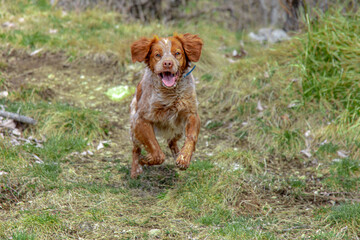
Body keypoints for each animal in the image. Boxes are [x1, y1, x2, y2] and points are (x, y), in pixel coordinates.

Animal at [129, 32, 202, 177]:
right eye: (157, 55)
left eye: (177, 53)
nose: (167, 63)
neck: (170, 94)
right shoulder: (141, 120)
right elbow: (156, 152)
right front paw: (145, 160)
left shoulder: (191, 114)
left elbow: (191, 137)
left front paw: (184, 158)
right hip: (134, 128)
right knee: (136, 149)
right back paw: (135, 170)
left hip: (177, 129)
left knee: (171, 141)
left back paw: (177, 154)